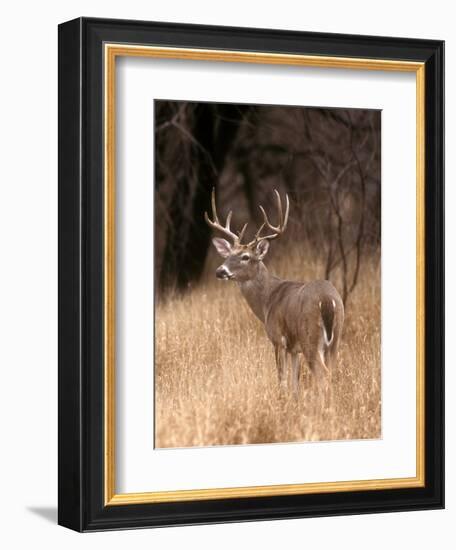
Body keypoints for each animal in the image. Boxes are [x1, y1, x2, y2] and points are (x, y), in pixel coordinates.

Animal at [205, 190, 344, 396]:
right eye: (228, 255)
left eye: (245, 257)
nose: (220, 271)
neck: (267, 301)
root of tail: (327, 300)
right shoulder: (294, 348)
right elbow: (295, 383)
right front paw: (295, 400)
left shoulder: (278, 338)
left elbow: (282, 379)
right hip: (335, 338)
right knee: (332, 373)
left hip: (310, 337)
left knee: (323, 375)